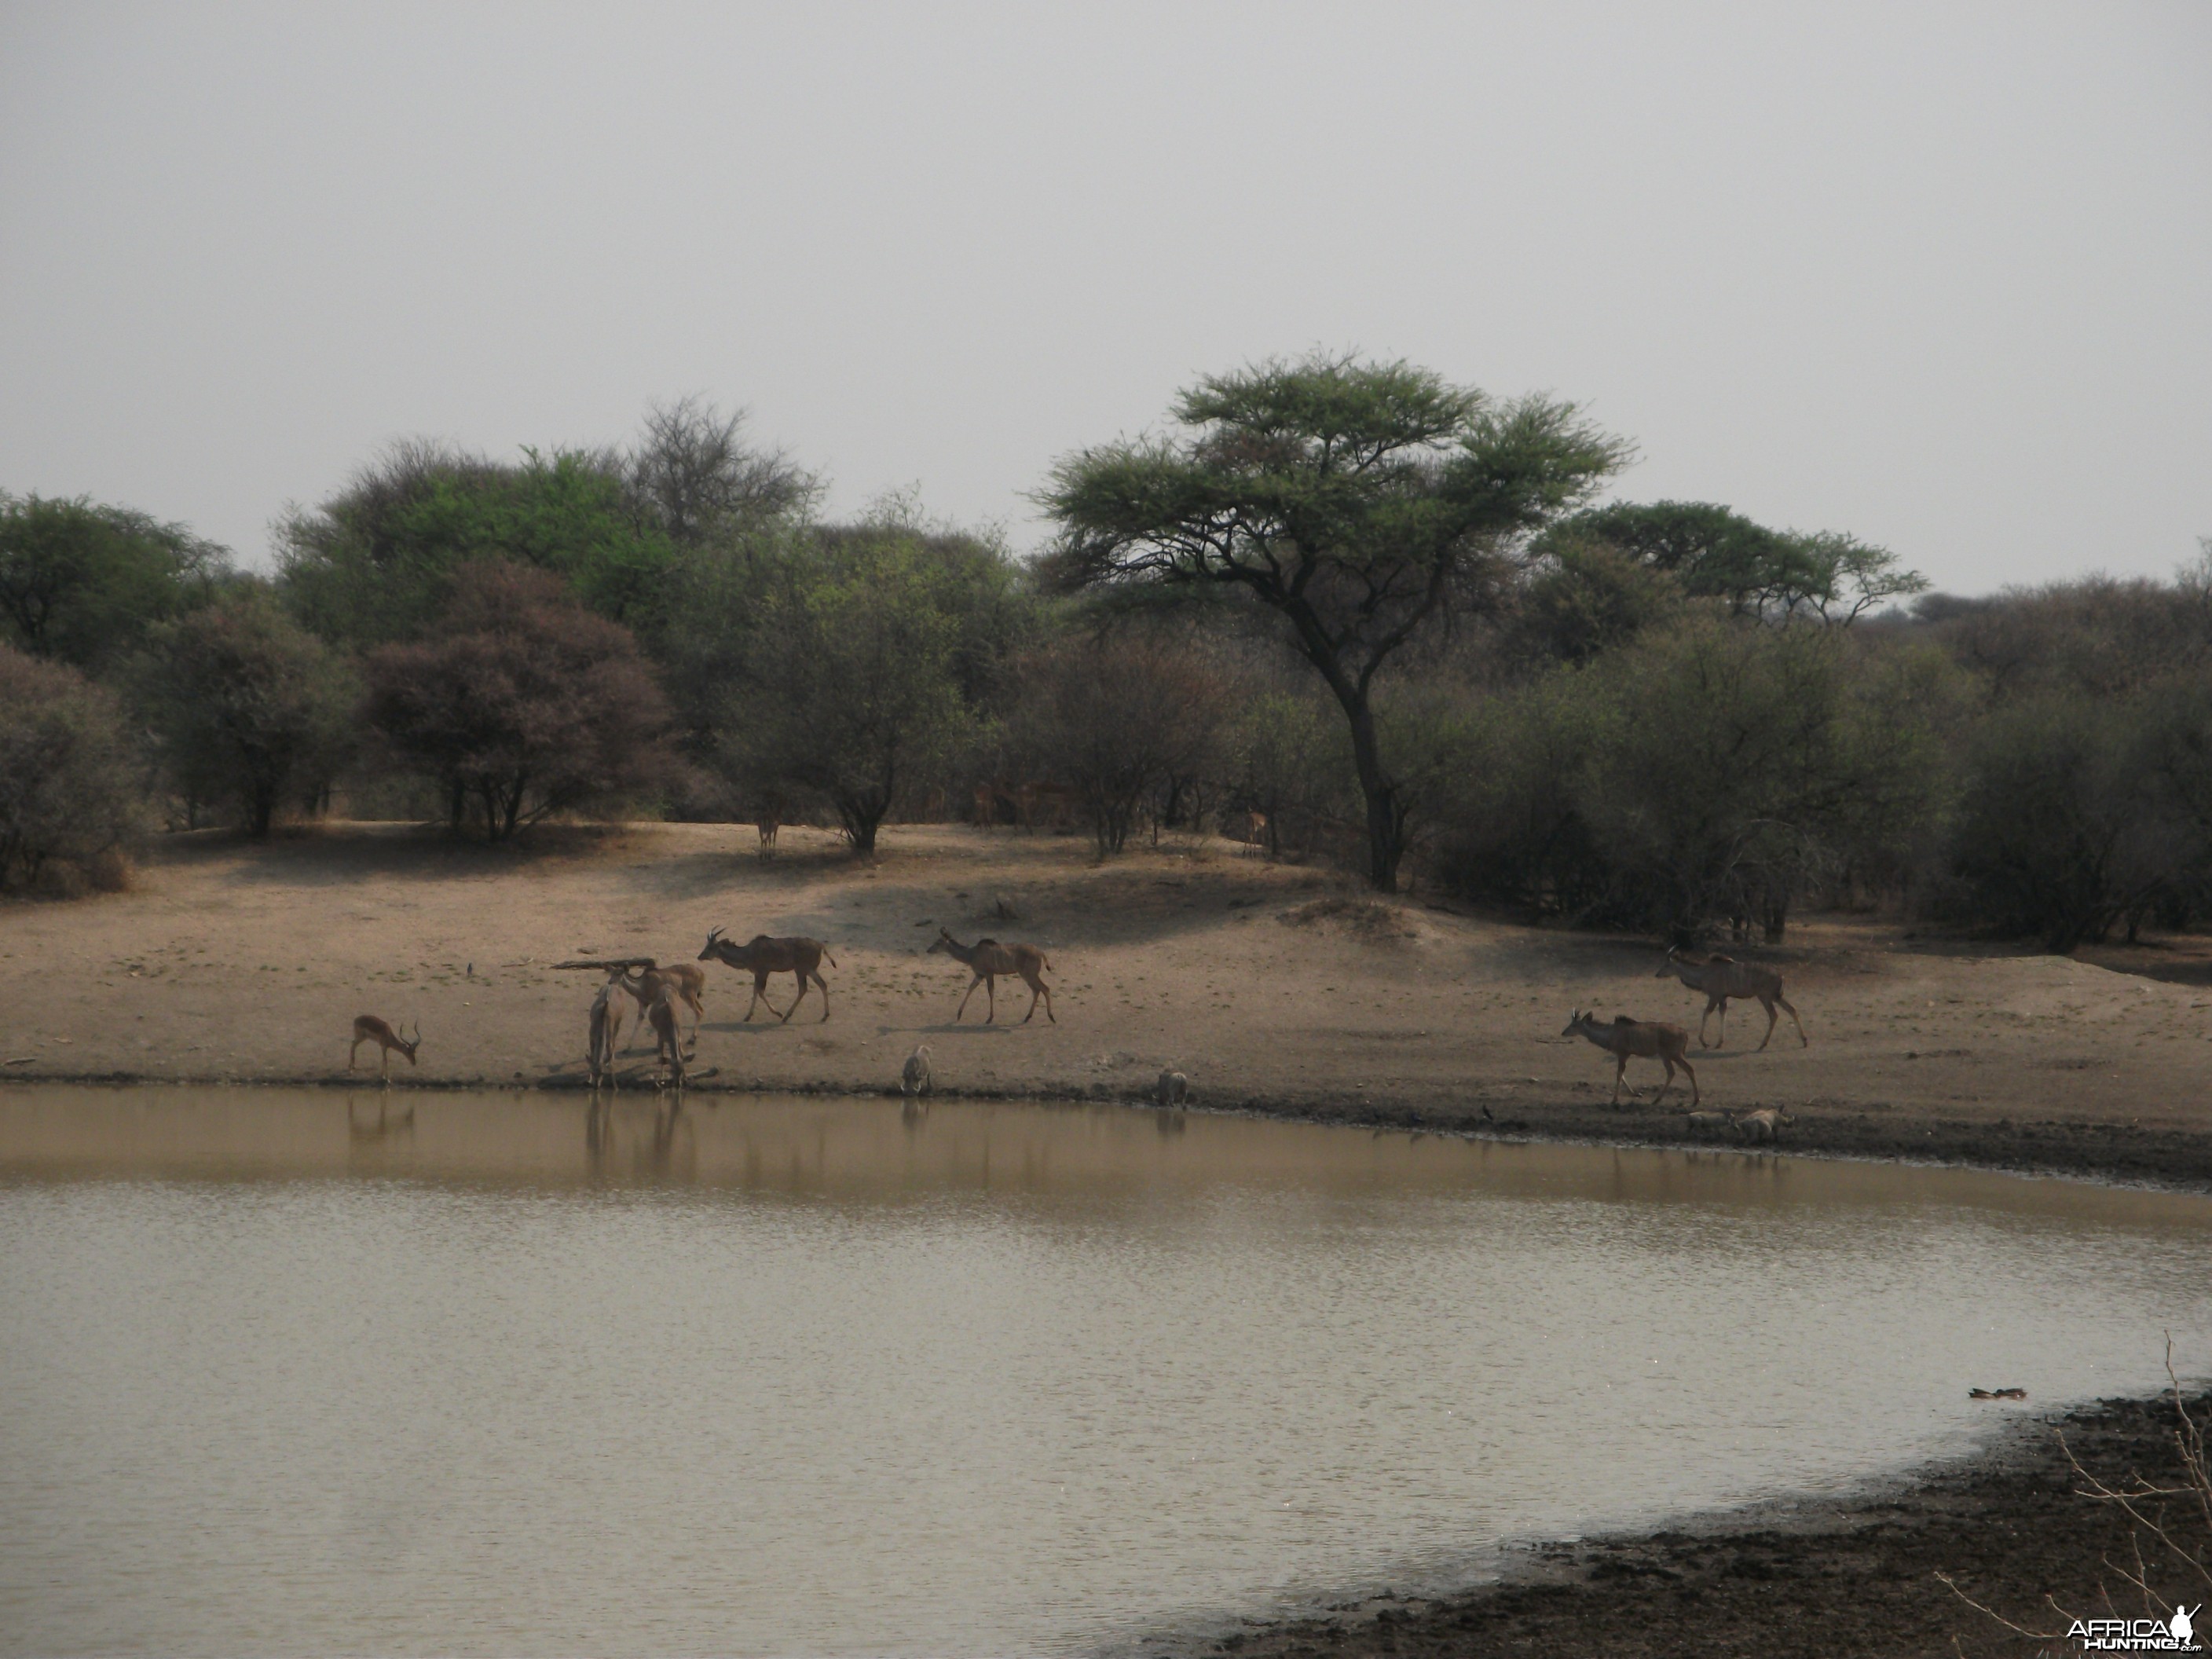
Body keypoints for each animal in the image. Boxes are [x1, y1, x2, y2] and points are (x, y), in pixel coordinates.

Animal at [694, 928, 831, 1021]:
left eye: (710, 947)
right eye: (706, 946)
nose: (699, 957)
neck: (747, 953)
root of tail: (821, 946)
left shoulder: (763, 972)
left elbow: (760, 991)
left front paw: (778, 1013)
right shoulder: (757, 974)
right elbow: (755, 991)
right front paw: (748, 1016)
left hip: (801, 970)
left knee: (803, 988)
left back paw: (786, 1016)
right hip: (810, 970)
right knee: (822, 984)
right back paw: (825, 1015)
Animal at [920, 925, 1048, 1026]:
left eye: (938, 942)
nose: (928, 950)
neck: (972, 954)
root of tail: (1041, 953)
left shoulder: (988, 973)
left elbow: (991, 992)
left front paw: (990, 1018)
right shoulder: (979, 975)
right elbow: (970, 989)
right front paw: (959, 1014)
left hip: (1029, 974)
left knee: (1043, 988)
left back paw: (1047, 1016)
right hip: (1027, 975)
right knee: (1037, 990)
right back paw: (1028, 1017)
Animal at [1566, 1009, 1698, 1110]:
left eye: (1573, 1025)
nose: (1563, 1033)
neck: (1610, 1034)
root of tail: (1685, 1033)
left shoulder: (1623, 1053)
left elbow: (1619, 1074)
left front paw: (1614, 1100)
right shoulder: (1624, 1055)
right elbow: (1622, 1074)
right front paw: (1637, 1094)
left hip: (1673, 1054)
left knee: (1687, 1069)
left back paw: (1694, 1100)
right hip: (1666, 1055)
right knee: (1674, 1071)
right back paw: (1659, 1100)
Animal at [1654, 947, 1804, 1053]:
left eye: (1666, 965)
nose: (1657, 974)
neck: (1704, 973)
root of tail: (1781, 975)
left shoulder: (1714, 996)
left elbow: (1706, 1013)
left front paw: (1704, 1042)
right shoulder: (1723, 998)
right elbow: (1723, 1014)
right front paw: (1720, 1042)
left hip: (1765, 997)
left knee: (1774, 1015)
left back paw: (1762, 1044)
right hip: (1776, 997)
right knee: (1792, 1009)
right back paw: (1804, 1040)